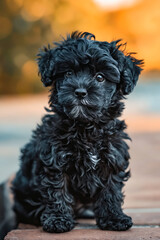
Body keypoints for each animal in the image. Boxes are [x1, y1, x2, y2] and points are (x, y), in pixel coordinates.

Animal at [12, 31, 142, 232]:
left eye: (100, 77)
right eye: (68, 73)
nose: (80, 92)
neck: (86, 126)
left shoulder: (113, 157)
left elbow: (111, 190)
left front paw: (114, 218)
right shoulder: (55, 160)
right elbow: (57, 190)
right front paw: (57, 219)